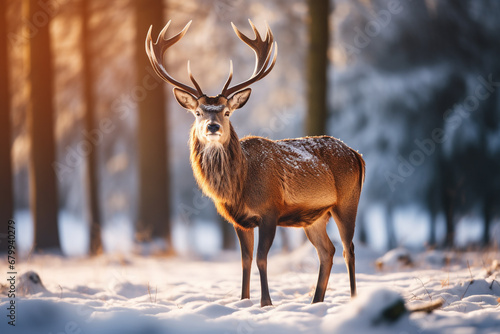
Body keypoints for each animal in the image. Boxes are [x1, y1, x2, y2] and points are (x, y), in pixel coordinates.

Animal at [145, 19, 364, 306]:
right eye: (198, 112)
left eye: (227, 112)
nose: (213, 126)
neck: (239, 186)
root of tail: (357, 155)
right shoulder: (239, 221)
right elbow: (245, 262)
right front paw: (244, 301)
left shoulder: (270, 210)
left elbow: (261, 259)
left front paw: (266, 303)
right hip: (315, 217)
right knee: (327, 251)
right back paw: (316, 301)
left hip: (347, 201)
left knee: (349, 249)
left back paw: (353, 298)